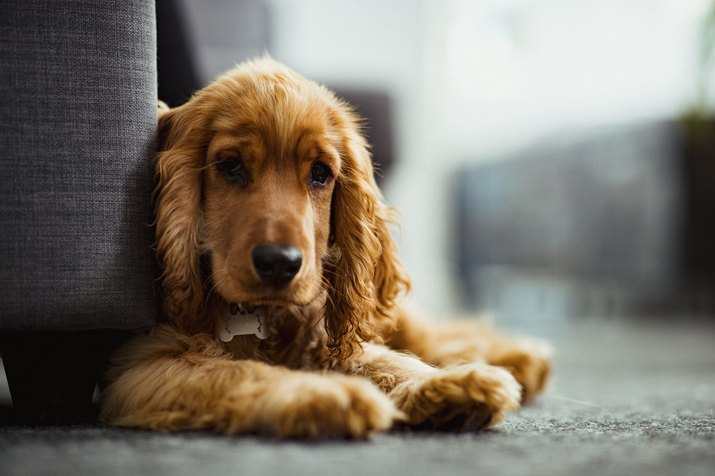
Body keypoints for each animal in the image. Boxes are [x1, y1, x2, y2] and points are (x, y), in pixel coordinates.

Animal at [98, 56, 552, 438]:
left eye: (320, 173)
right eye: (230, 167)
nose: (280, 264)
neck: (262, 318)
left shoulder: (324, 328)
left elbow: (381, 359)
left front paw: (447, 384)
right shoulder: (141, 365)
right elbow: (239, 372)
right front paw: (326, 393)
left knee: (431, 333)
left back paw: (514, 358)